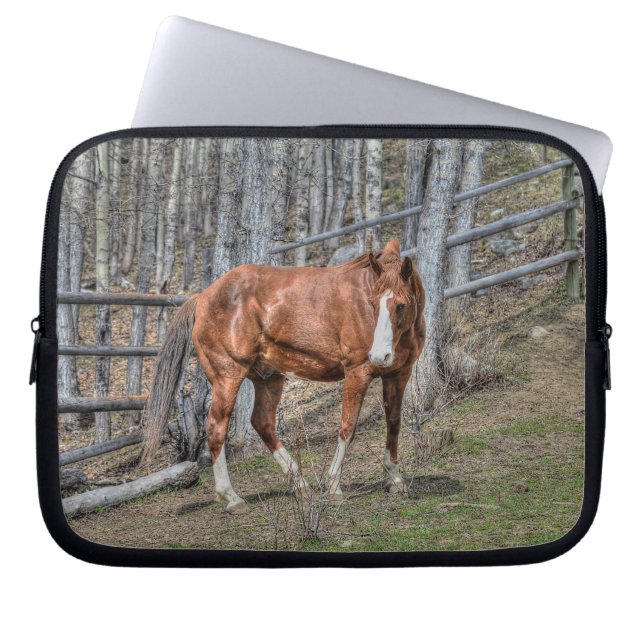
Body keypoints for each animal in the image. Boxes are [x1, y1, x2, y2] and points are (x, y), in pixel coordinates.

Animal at [141, 238, 426, 513]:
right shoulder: (358, 372)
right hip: (227, 377)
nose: (379, 355)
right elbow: (347, 427)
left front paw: (395, 479)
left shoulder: (398, 374)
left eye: (401, 305)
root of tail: (202, 297)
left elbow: (394, 422)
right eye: (372, 304)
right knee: (216, 427)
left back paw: (300, 486)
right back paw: (232, 498)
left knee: (262, 423)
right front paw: (334, 487)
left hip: (268, 378)